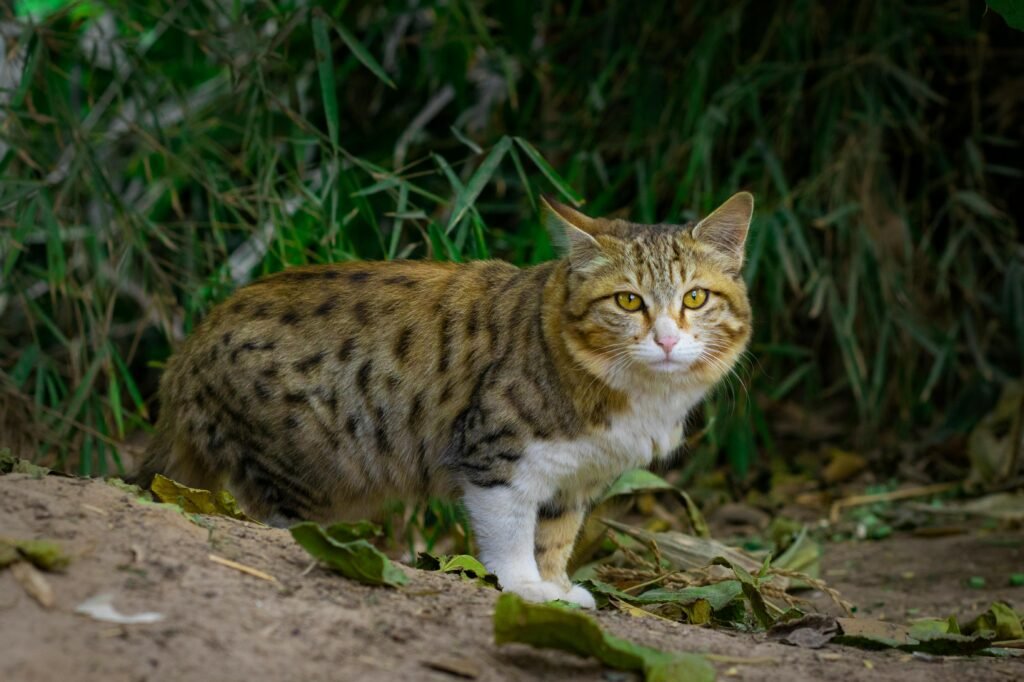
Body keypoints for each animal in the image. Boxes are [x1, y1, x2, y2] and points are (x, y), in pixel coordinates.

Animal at [136, 191, 753, 606]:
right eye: (628, 301)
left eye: (694, 298)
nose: (667, 339)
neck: (640, 394)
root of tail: (192, 343)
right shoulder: (495, 455)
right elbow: (511, 535)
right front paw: (526, 587)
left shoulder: (573, 480)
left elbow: (554, 538)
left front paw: (555, 586)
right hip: (301, 466)